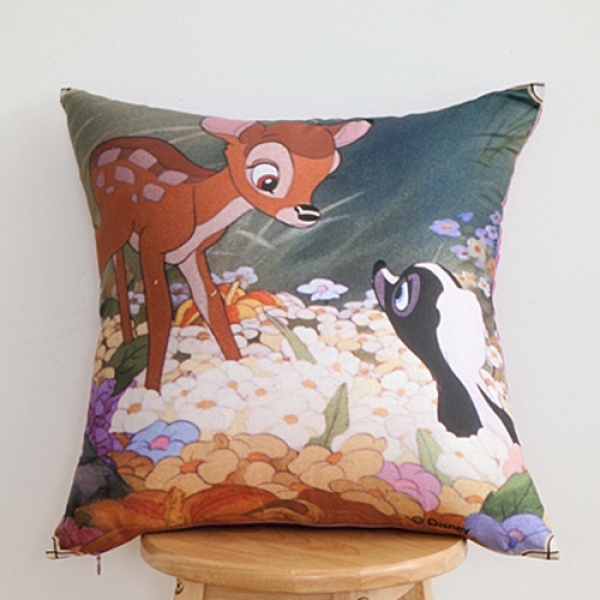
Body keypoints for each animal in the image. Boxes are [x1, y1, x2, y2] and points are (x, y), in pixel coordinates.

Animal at [91, 116, 372, 392]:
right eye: (267, 180)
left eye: (324, 174)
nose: (309, 214)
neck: (195, 202)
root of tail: (96, 151)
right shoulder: (151, 243)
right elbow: (160, 314)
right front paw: (151, 391)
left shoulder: (191, 254)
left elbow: (211, 304)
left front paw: (237, 365)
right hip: (114, 223)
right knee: (104, 252)